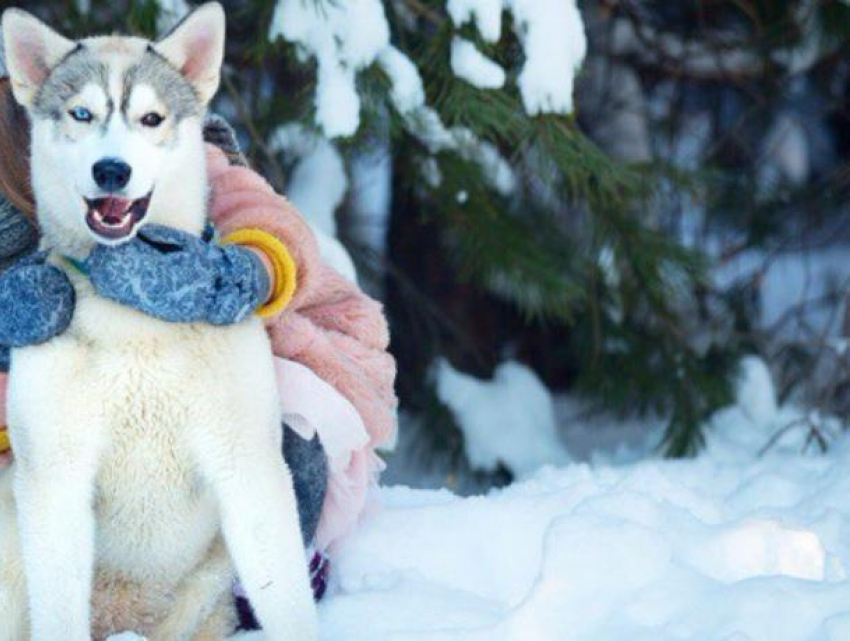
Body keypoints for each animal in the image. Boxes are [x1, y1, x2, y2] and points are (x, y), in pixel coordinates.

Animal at [0, 5, 318, 640]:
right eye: (81, 113)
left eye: (151, 118)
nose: (112, 170)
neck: (133, 328)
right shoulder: (54, 479)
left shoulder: (249, 469)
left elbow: (289, 603)